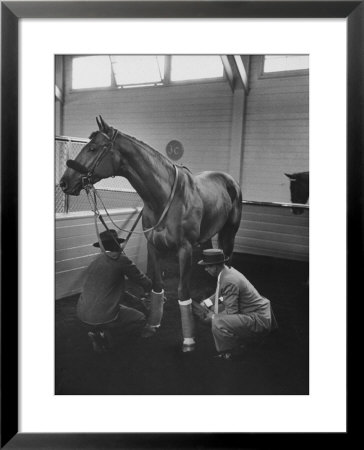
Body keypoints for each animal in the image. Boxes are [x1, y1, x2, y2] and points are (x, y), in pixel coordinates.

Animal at [59, 116, 243, 352]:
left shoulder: (184, 249)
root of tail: (229, 180)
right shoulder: (153, 247)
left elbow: (183, 291)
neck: (164, 198)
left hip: (230, 232)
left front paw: (188, 340)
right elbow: (156, 285)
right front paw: (152, 325)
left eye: (92, 148)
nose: (64, 182)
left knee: (227, 261)